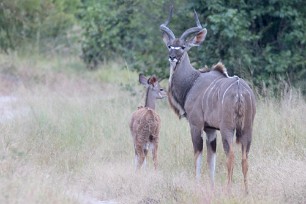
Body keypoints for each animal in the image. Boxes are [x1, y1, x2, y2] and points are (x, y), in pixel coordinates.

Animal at [160, 7, 256, 193]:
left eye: (183, 47)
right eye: (169, 45)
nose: (172, 56)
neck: (193, 81)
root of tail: (240, 91)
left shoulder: (196, 124)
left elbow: (198, 154)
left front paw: (197, 184)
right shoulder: (211, 129)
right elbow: (211, 158)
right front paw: (211, 186)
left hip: (228, 128)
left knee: (231, 155)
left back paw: (228, 189)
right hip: (247, 128)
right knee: (245, 157)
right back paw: (247, 192)